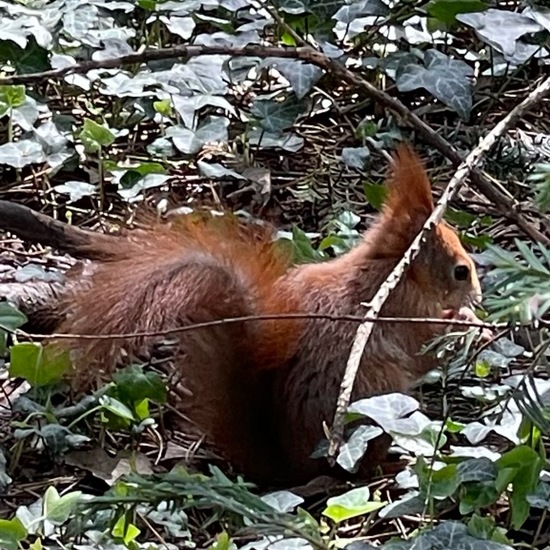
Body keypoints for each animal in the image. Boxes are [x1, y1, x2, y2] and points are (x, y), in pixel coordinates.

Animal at [42, 144, 484, 486]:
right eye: (460, 270)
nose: (479, 296)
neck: (394, 272)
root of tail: (290, 469)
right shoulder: (400, 313)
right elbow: (424, 349)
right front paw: (466, 322)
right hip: (376, 404)